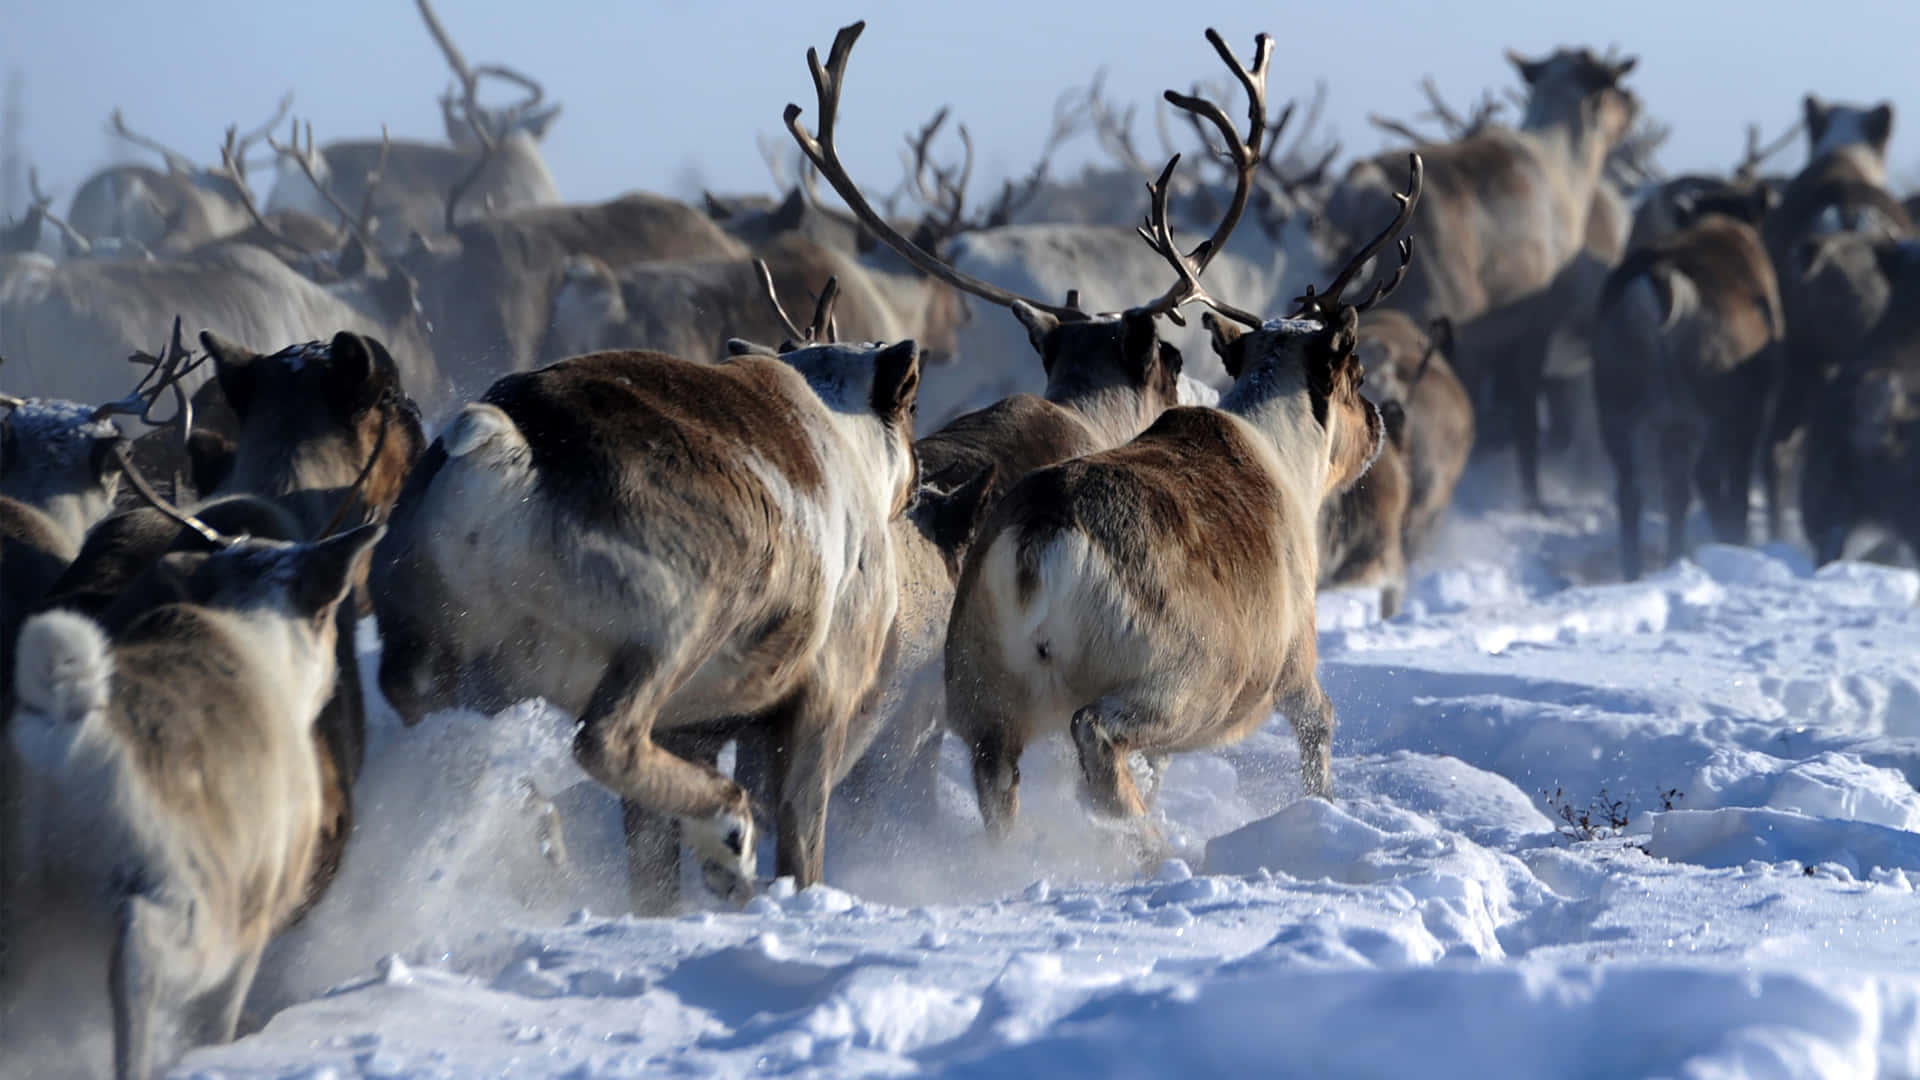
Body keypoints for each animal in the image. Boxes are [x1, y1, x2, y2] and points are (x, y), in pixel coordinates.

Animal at [1326, 47, 1636, 510]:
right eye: (1613, 82)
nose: (1635, 103)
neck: (1570, 176)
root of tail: (1362, 190)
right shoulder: (1530, 326)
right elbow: (1523, 417)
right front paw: (1532, 495)